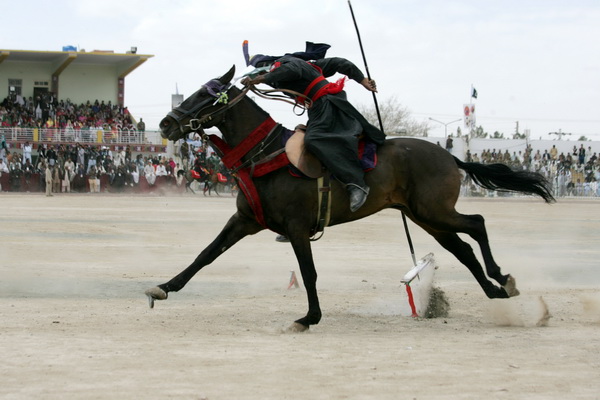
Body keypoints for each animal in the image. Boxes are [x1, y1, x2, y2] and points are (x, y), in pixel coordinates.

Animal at [145, 66, 552, 332]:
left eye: (207, 95)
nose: (166, 123)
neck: (266, 155)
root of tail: (451, 156)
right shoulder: (245, 221)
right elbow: (206, 254)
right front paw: (164, 287)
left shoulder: (295, 228)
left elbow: (308, 272)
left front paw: (309, 318)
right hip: (426, 218)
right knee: (463, 249)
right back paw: (495, 290)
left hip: (435, 211)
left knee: (477, 224)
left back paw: (501, 278)